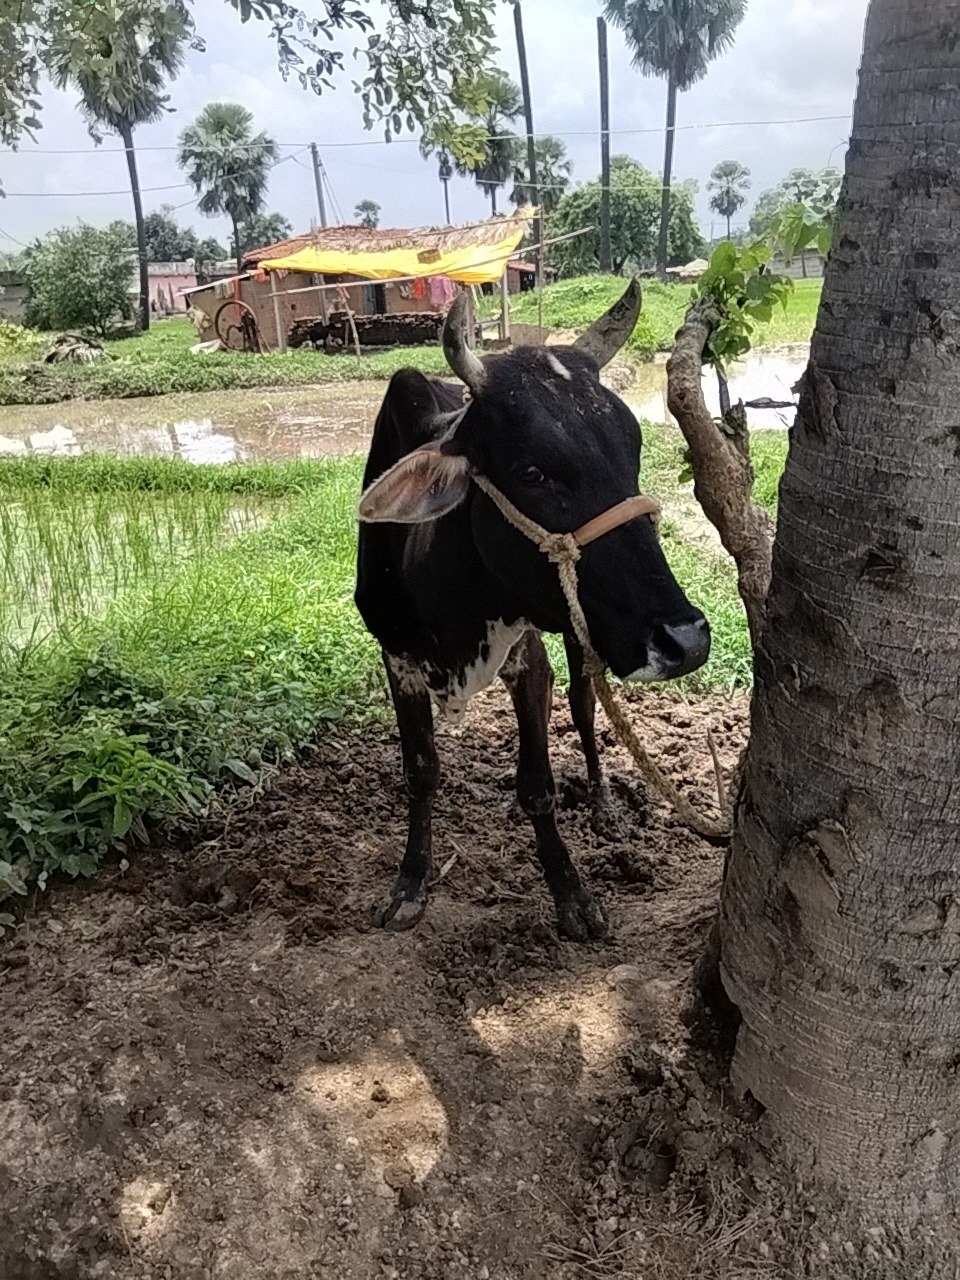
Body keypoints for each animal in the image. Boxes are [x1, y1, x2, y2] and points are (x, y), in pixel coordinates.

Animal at [355, 282, 710, 941]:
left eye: (633, 451)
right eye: (533, 471)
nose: (685, 638)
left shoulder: (528, 656)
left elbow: (539, 783)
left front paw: (571, 894)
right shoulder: (398, 660)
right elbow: (421, 770)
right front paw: (411, 882)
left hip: (580, 634)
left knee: (586, 707)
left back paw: (602, 804)